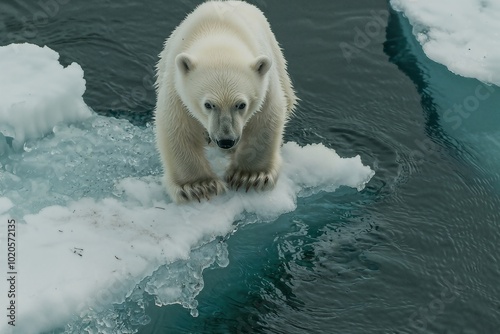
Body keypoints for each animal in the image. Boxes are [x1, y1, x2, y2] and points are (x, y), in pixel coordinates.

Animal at [155, 0, 296, 202]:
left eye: (241, 105)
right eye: (208, 105)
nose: (226, 141)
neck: (219, 33)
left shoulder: (265, 81)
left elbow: (267, 116)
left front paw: (249, 176)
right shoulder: (177, 84)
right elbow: (176, 124)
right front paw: (198, 186)